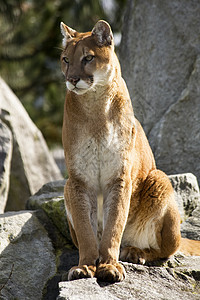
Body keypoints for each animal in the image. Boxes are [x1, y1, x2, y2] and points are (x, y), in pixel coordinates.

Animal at [60, 20, 200, 282]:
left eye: (88, 58)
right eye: (65, 59)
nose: (72, 79)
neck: (95, 106)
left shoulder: (119, 177)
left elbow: (114, 225)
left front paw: (109, 266)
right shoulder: (78, 180)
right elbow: (85, 230)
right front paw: (85, 266)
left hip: (160, 179)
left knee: (167, 251)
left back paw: (135, 252)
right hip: (65, 188)